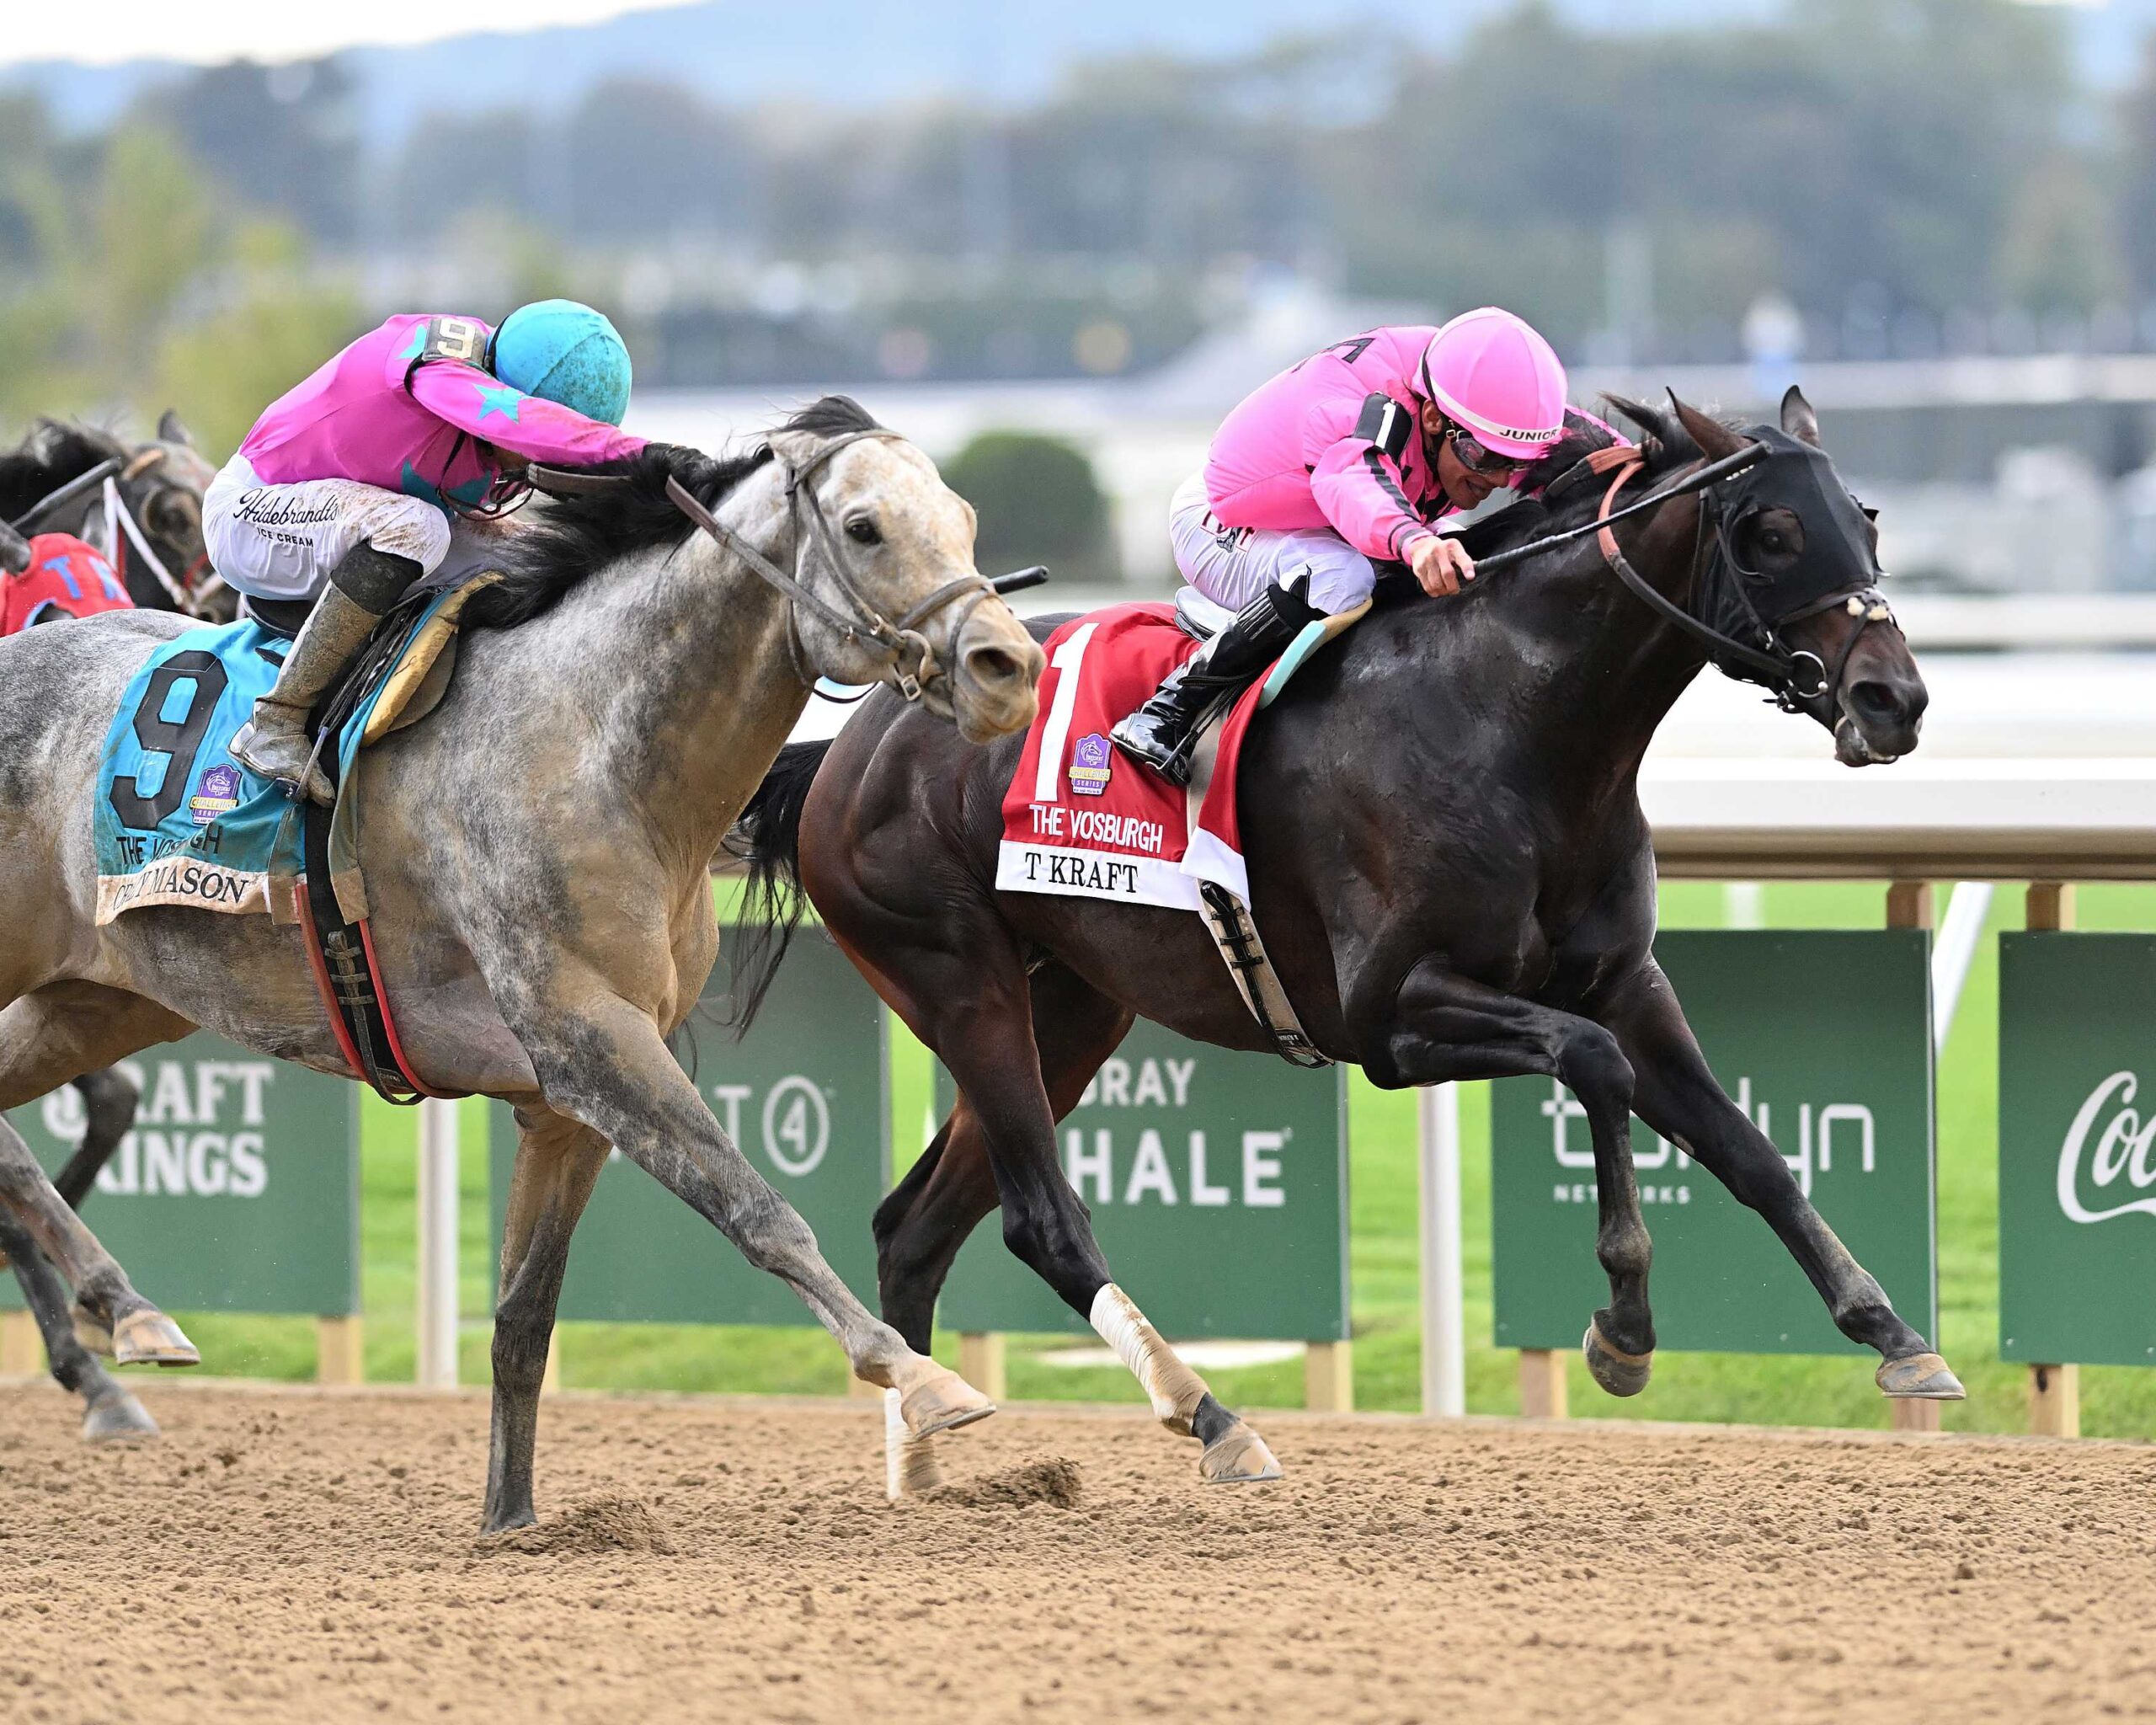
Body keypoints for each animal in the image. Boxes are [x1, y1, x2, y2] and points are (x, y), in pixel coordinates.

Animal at [0, 396, 1045, 1530]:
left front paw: (513, 1519)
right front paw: (922, 1376)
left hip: (105, 996)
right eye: (863, 527)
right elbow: (760, 1210)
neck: (594, 748)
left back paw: (125, 1317)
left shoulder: (568, 1090)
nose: (1008, 666)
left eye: (964, 517)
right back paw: (126, 1316)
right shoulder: (589, 1036)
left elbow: (523, 1313)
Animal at [726, 388, 1962, 1490]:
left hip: (1072, 1009)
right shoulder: (1391, 1018)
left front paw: (1894, 1334)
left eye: (1866, 522)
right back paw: (1210, 1418)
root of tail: (854, 742)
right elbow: (1593, 1065)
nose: (1894, 700)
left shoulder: (1624, 981)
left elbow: (1747, 1147)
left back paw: (927, 1462)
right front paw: (1622, 1329)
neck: (1517, 727)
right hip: (960, 982)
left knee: (914, 1228)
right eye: (1771, 531)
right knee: (1040, 1223)